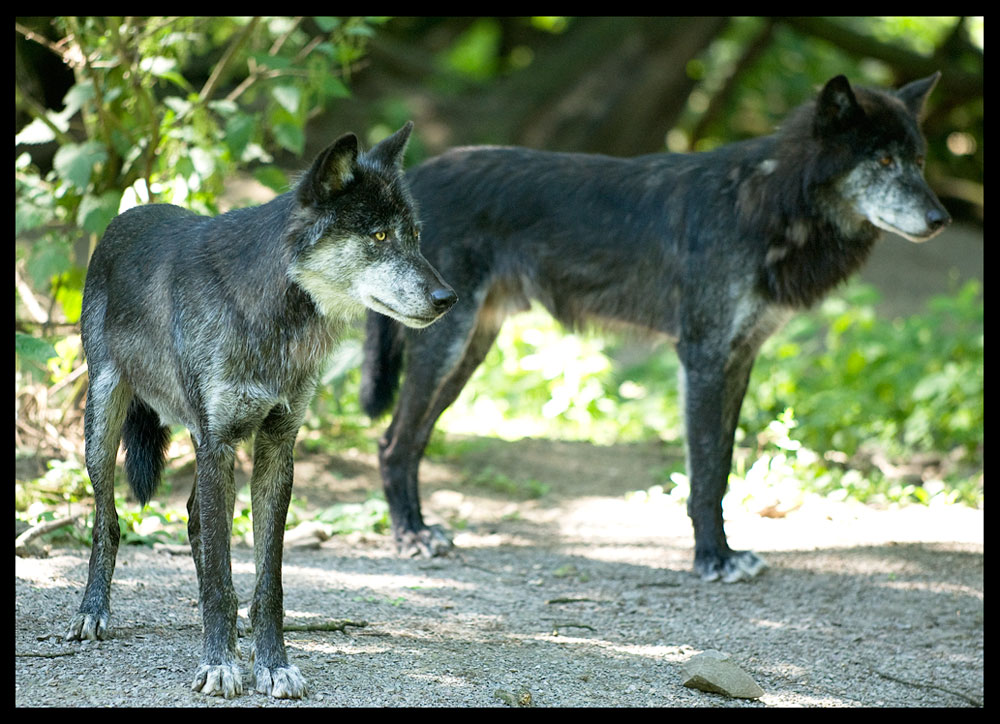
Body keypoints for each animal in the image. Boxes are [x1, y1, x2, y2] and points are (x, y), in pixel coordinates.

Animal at [68, 121, 458, 700]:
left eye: (412, 235)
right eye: (378, 238)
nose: (448, 297)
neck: (275, 317)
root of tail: (129, 213)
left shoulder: (275, 447)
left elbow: (265, 580)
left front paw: (272, 663)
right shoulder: (218, 443)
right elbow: (220, 576)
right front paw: (220, 663)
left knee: (194, 521)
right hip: (103, 425)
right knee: (107, 521)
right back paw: (94, 611)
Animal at [362, 75, 952, 584]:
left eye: (919, 161)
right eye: (882, 159)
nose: (941, 219)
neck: (766, 205)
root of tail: (415, 180)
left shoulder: (740, 359)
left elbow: (721, 466)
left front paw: (723, 551)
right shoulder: (704, 357)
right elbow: (706, 472)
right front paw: (713, 557)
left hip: (467, 354)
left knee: (408, 441)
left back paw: (419, 528)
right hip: (446, 347)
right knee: (393, 442)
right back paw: (410, 536)